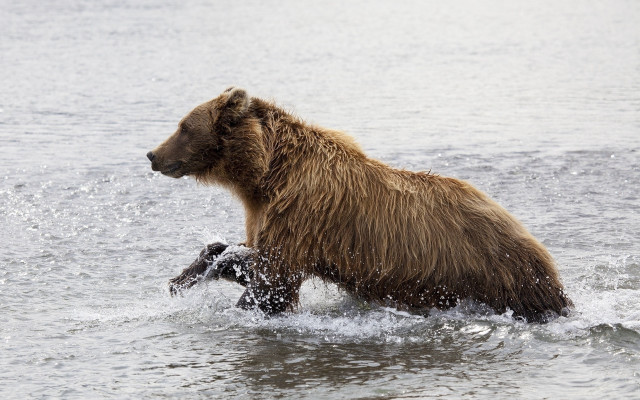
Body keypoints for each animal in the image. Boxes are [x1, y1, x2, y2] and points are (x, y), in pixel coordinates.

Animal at [147, 87, 572, 322]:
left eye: (183, 126)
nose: (152, 154)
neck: (265, 175)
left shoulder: (301, 214)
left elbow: (273, 282)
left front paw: (238, 308)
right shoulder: (275, 216)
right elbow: (249, 256)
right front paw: (184, 277)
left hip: (495, 271)